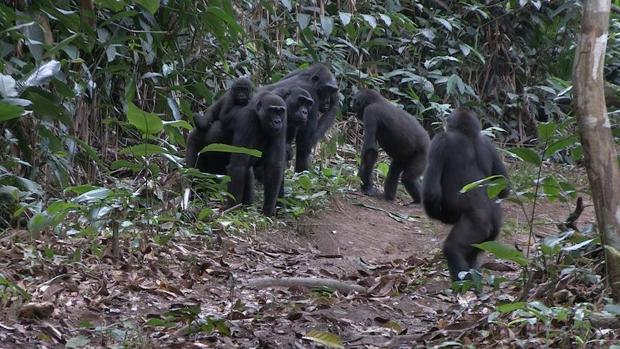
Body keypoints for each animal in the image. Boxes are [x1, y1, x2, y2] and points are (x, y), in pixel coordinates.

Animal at [422, 109, 512, 280]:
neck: (468, 134)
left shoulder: (439, 141)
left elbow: (431, 192)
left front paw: (439, 215)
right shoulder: (490, 144)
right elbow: (504, 185)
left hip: (477, 226)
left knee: (452, 248)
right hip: (491, 235)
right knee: (472, 255)